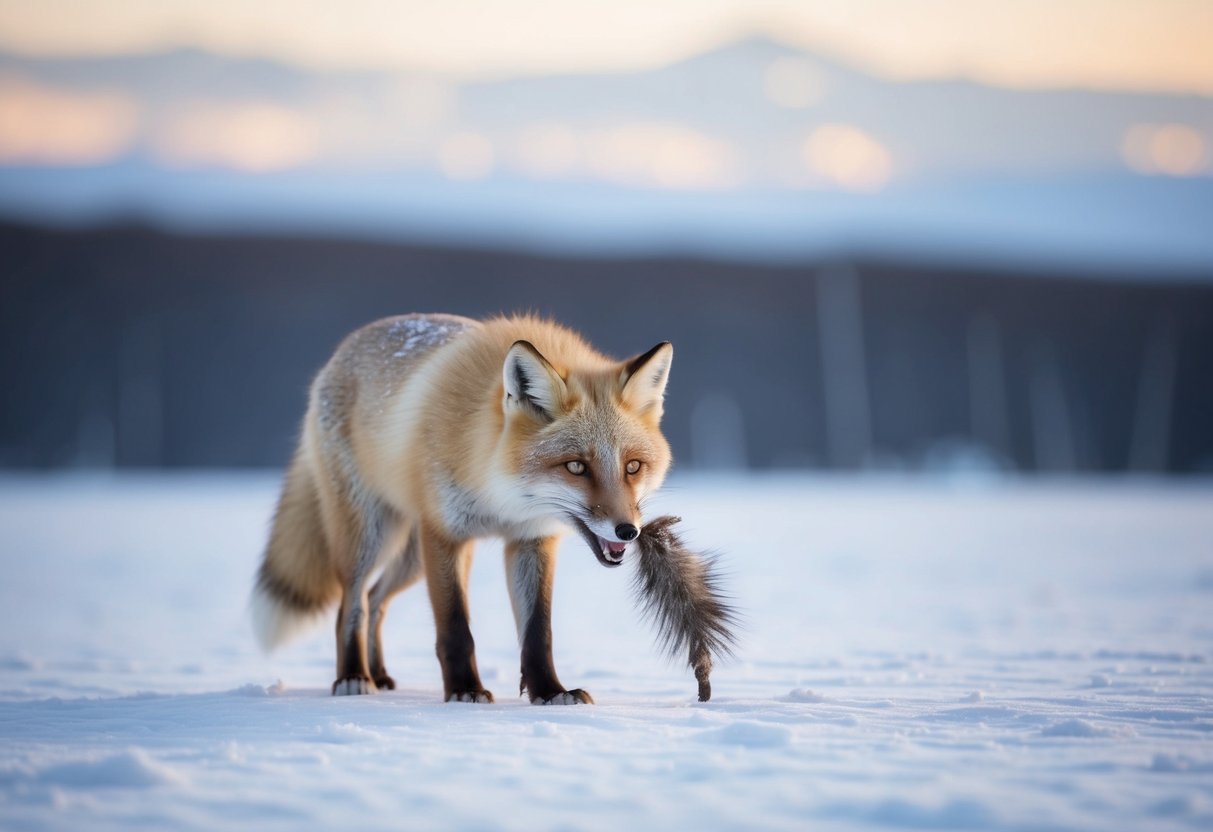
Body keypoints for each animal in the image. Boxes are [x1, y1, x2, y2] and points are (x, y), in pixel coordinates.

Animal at [252, 313, 674, 703]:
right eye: (576, 467)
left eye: (632, 466)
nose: (628, 531)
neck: (499, 496)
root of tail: (345, 347)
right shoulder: (444, 535)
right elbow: (455, 629)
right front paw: (465, 690)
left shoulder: (531, 540)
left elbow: (539, 633)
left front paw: (550, 692)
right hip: (371, 536)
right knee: (350, 606)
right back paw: (354, 677)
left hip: (412, 558)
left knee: (375, 600)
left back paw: (380, 674)